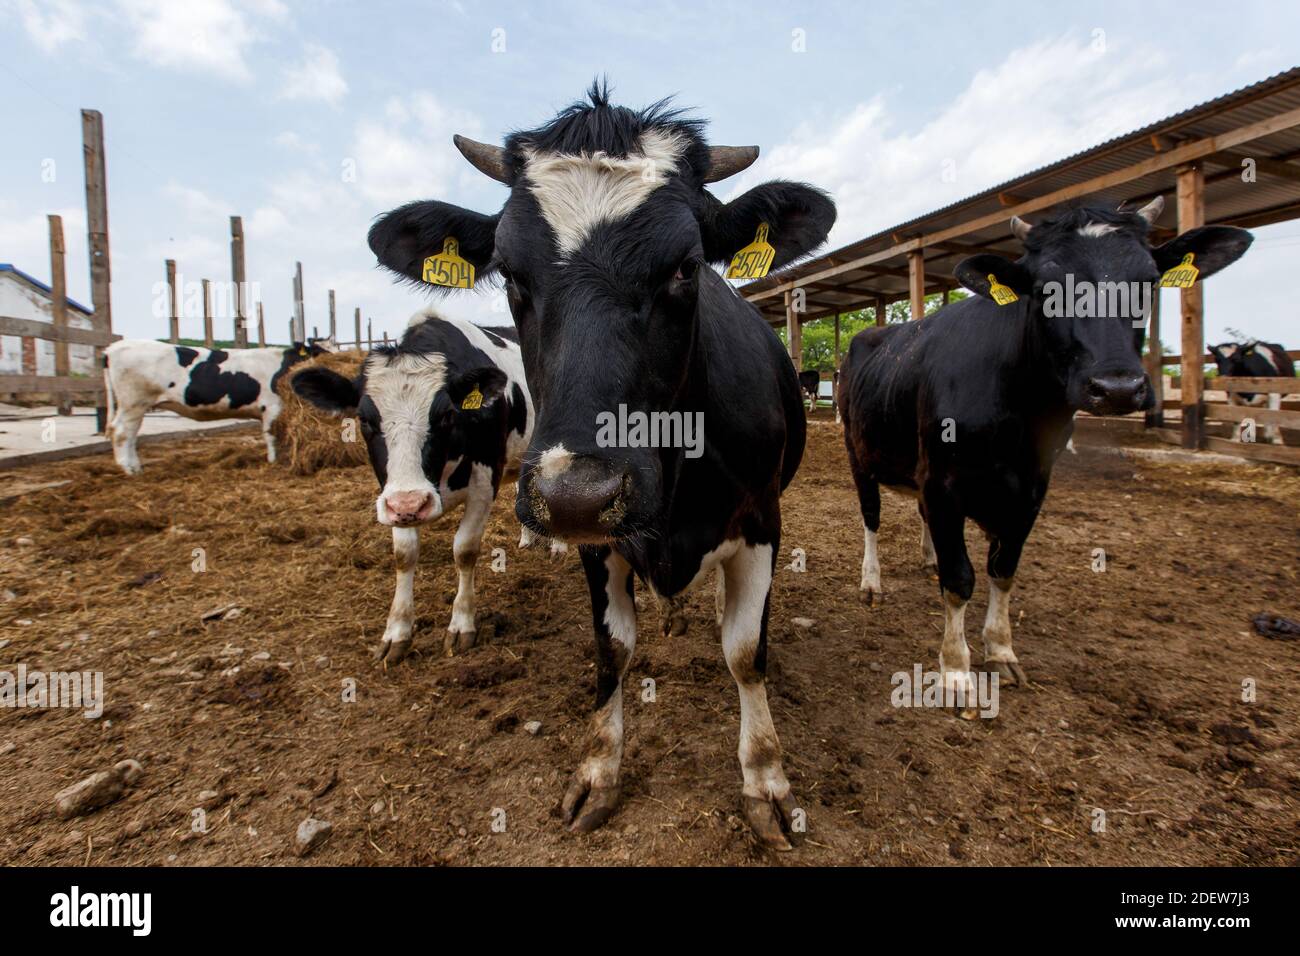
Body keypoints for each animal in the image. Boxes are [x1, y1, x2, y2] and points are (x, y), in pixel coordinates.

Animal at [103, 338, 332, 474]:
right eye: (319, 352)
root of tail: (112, 348)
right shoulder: (271, 407)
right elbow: (271, 436)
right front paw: (274, 462)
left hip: (135, 405)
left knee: (129, 434)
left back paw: (135, 466)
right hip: (134, 402)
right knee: (122, 432)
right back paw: (129, 469)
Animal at [291, 310, 559, 660]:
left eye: (445, 415)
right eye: (364, 419)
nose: (412, 504)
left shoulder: (484, 480)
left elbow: (464, 550)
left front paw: (461, 625)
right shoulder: (395, 495)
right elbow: (404, 554)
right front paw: (397, 632)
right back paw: (528, 539)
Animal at [364, 83, 835, 849]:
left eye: (686, 266)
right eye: (510, 273)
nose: (580, 493)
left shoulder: (763, 520)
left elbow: (745, 652)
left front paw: (765, 780)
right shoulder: (594, 540)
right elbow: (612, 651)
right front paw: (597, 771)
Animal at [839, 197, 1252, 706]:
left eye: (1149, 281)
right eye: (1045, 289)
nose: (1117, 387)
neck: (1019, 412)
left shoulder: (1031, 489)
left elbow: (1003, 570)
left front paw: (1000, 649)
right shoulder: (943, 482)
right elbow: (960, 579)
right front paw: (955, 669)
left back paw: (927, 556)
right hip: (859, 454)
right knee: (871, 519)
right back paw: (871, 583)